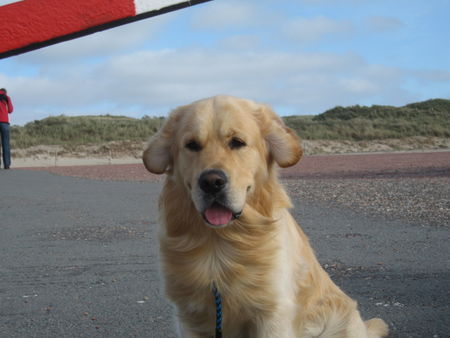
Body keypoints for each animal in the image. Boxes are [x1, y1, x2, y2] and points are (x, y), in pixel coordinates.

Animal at [143, 95, 386, 338]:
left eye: (237, 142)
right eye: (192, 145)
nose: (211, 182)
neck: (220, 244)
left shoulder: (273, 313)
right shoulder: (189, 317)